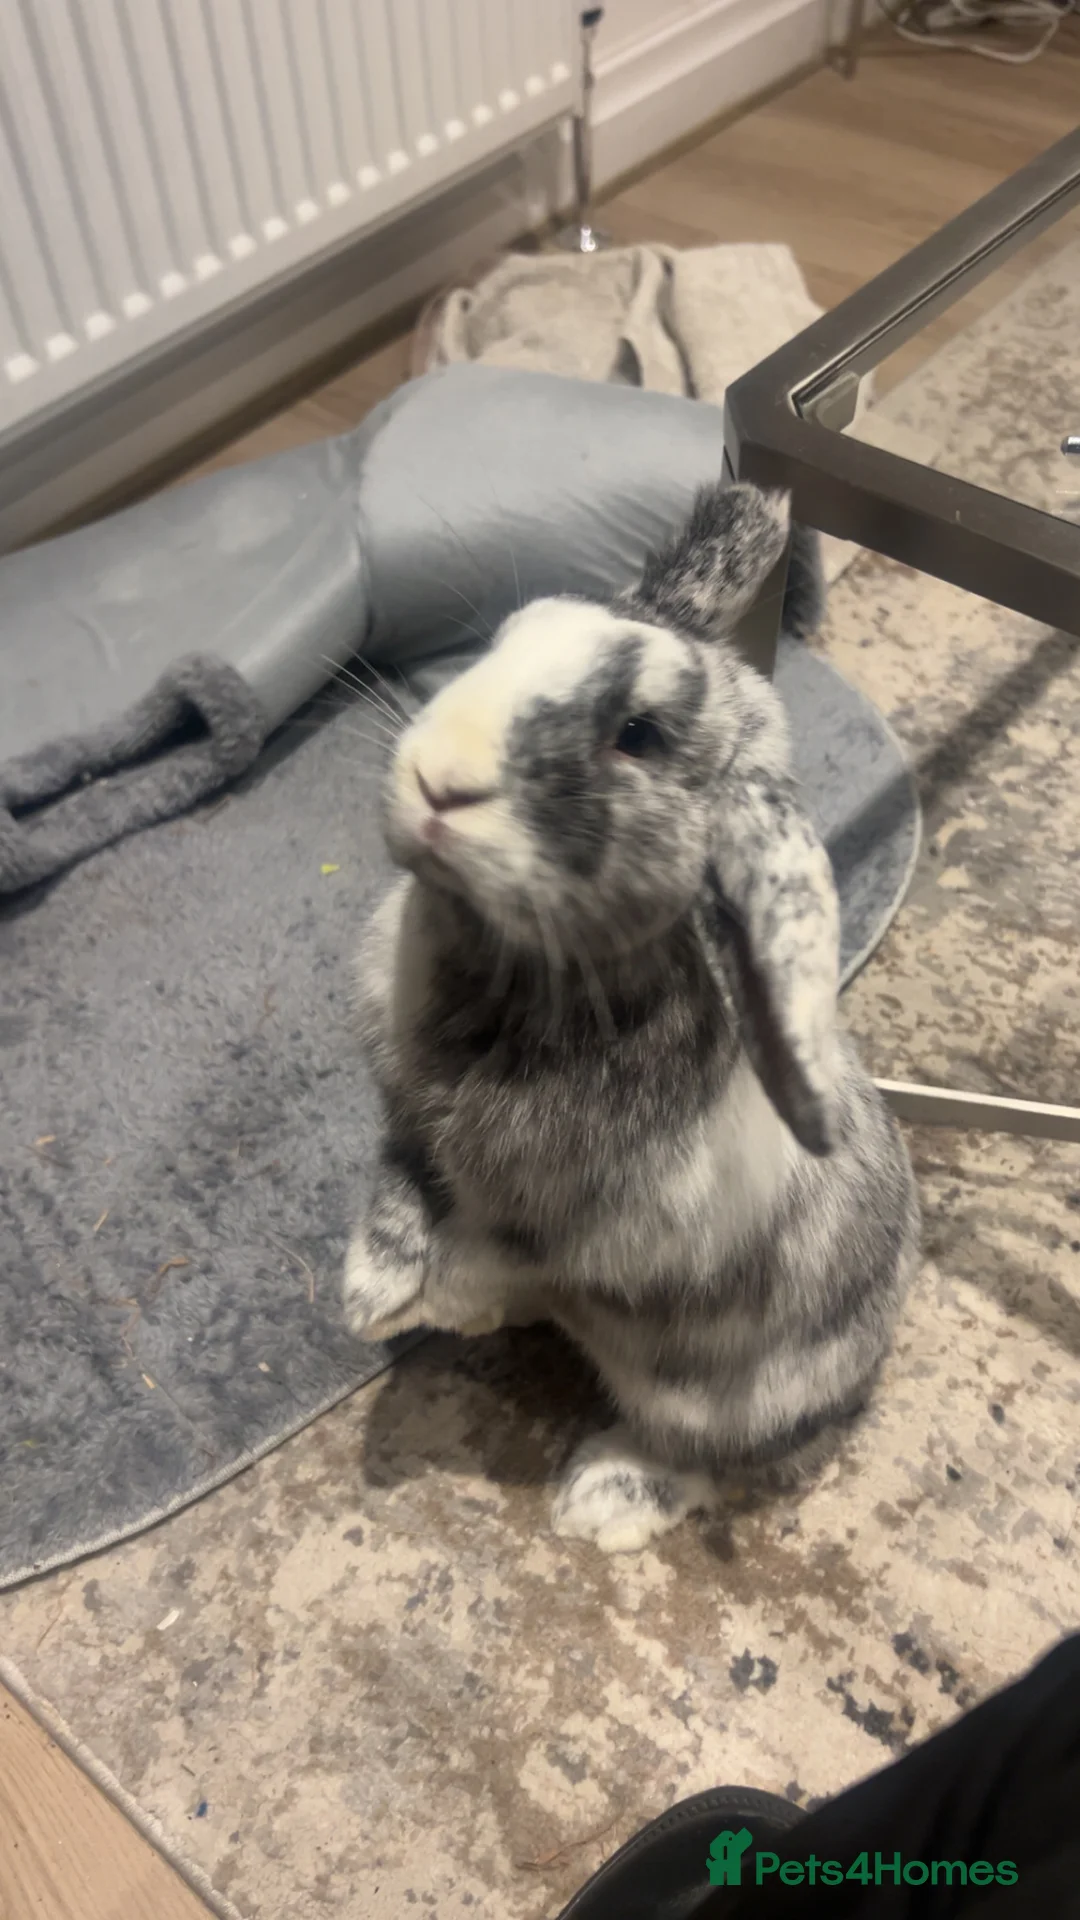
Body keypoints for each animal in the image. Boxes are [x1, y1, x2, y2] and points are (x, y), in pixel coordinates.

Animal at [342, 481, 920, 1553]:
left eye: (638, 737)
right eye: (503, 640)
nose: (440, 779)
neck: (513, 971)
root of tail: (864, 1380)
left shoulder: (570, 1237)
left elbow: (490, 1261)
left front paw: (443, 1308)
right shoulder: (406, 1128)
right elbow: (396, 1195)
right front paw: (370, 1298)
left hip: (721, 1403)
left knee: (721, 1461)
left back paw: (601, 1499)